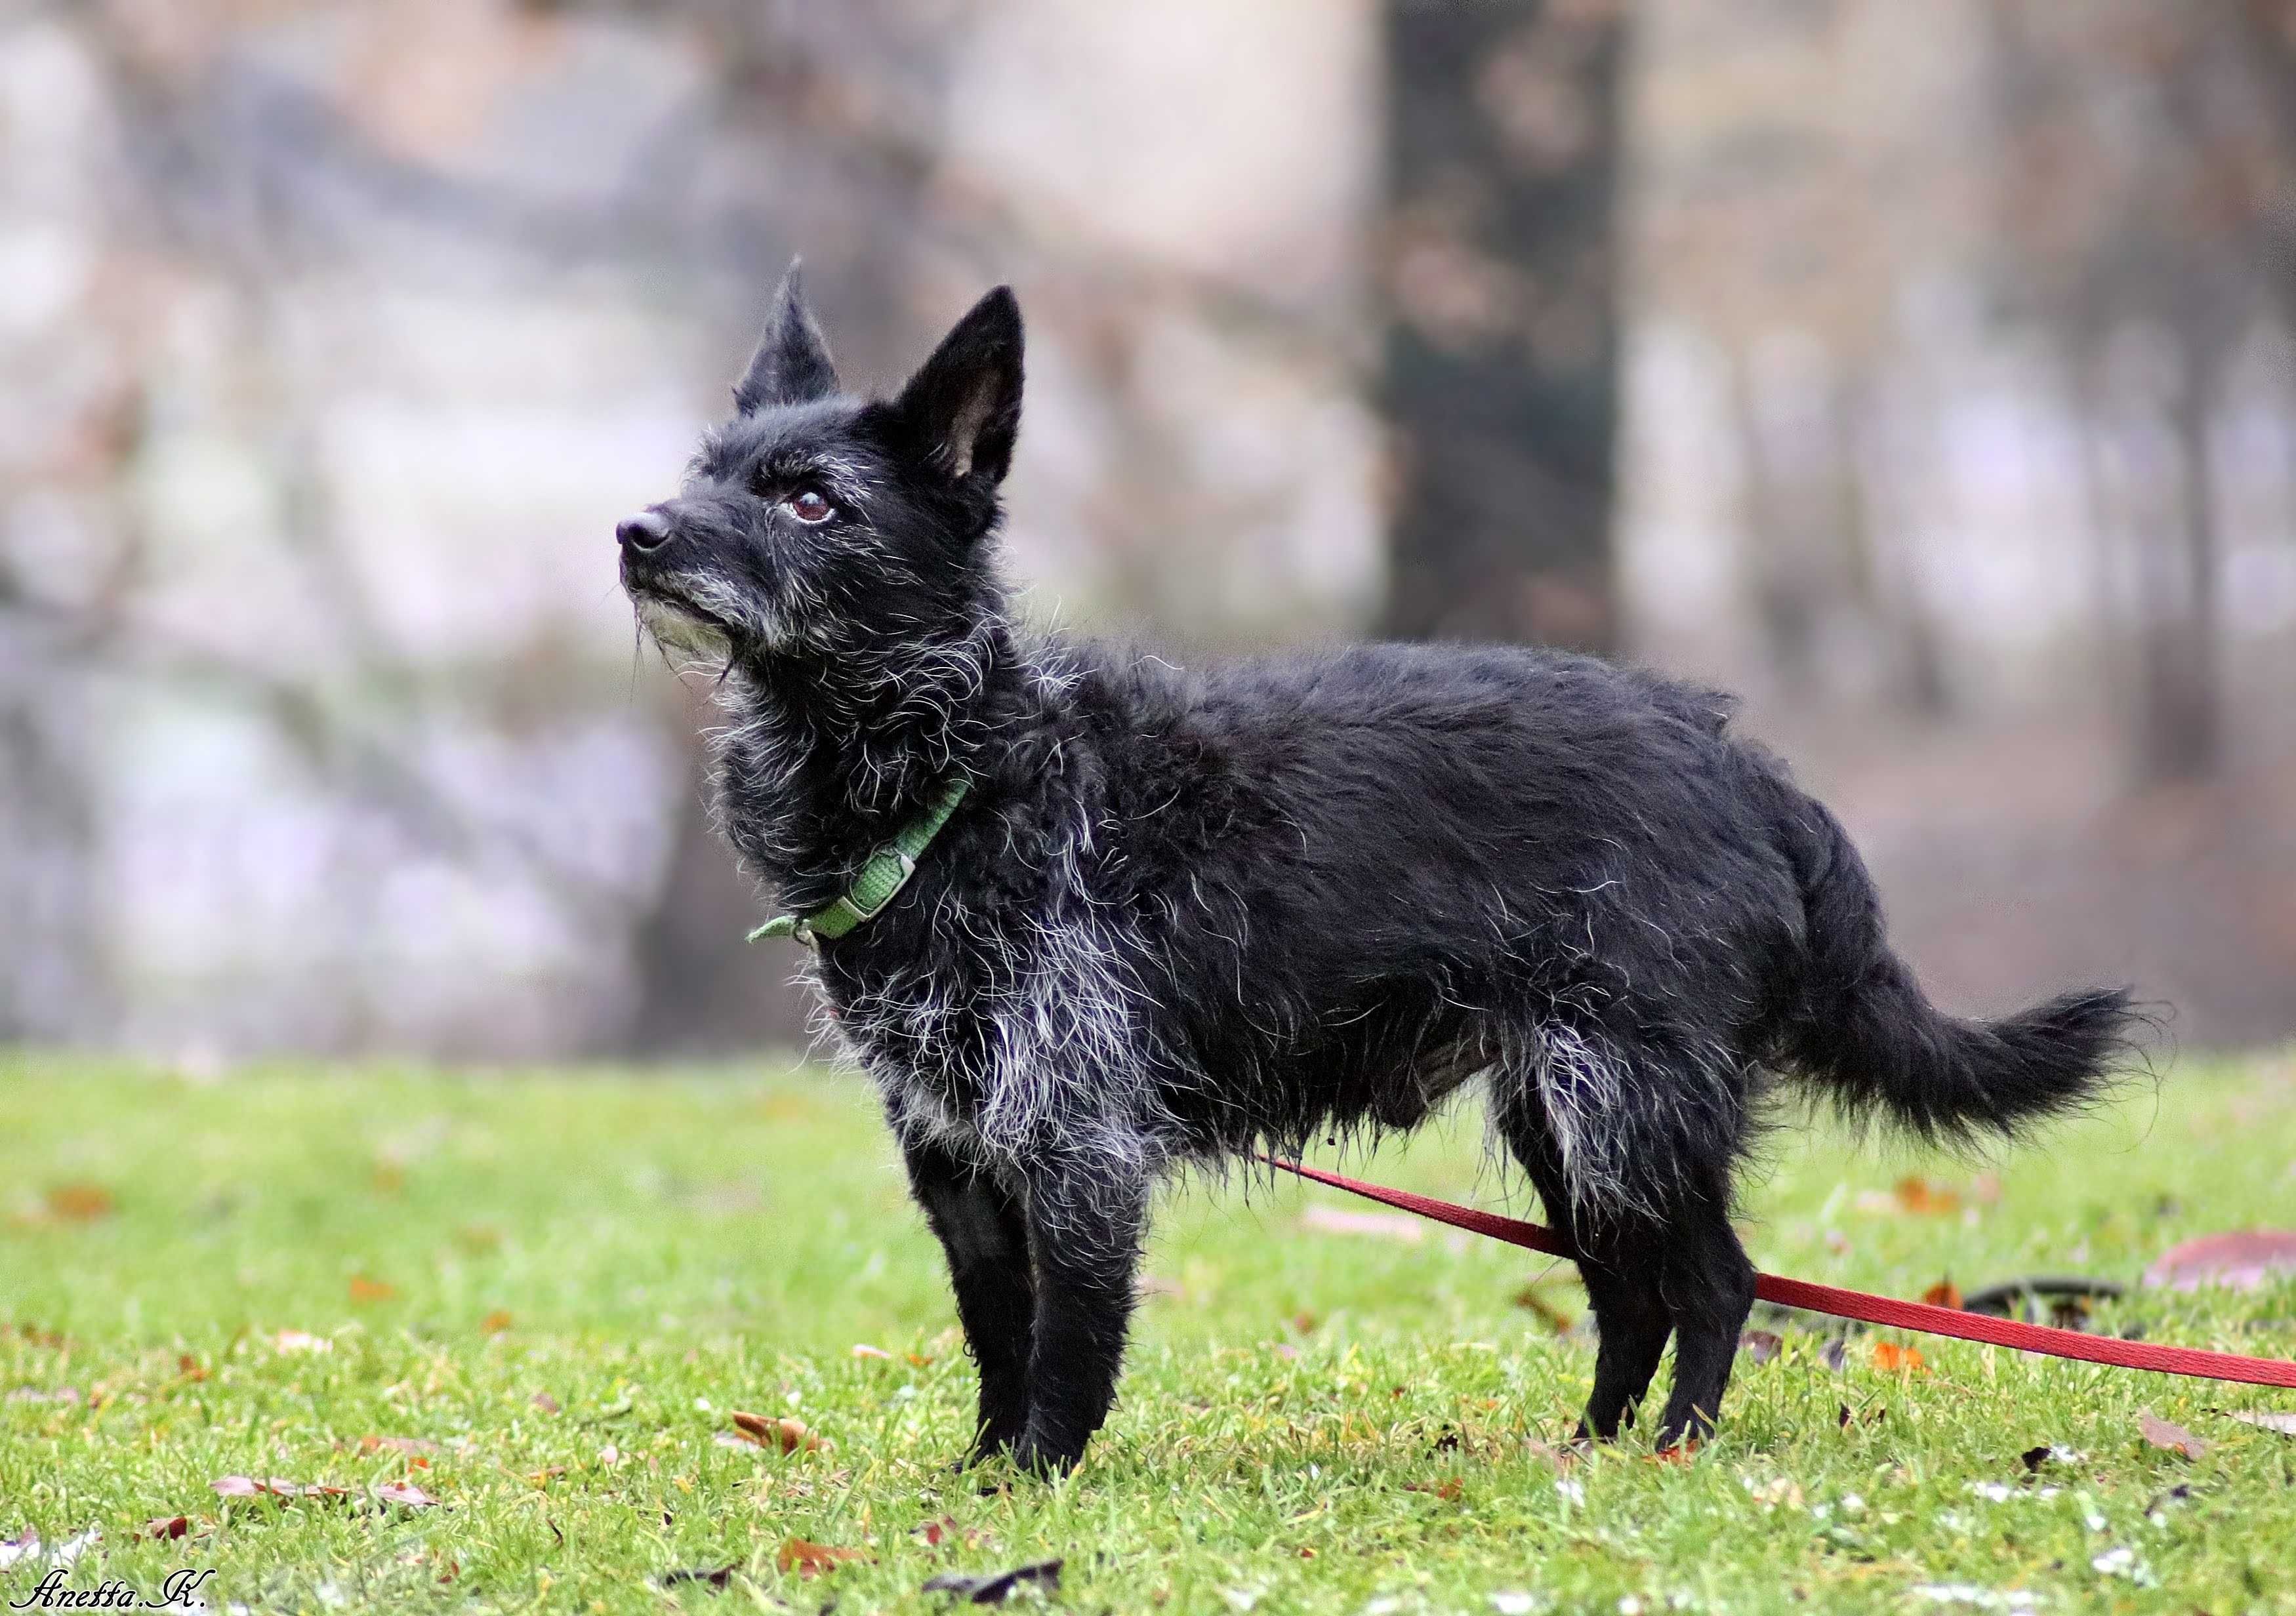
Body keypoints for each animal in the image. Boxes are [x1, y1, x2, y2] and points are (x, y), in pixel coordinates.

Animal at [620, 268, 2140, 1478]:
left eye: (811, 499)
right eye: (706, 473)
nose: (638, 530)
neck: (961, 772)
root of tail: (1744, 763)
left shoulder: (1077, 1143)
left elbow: (1067, 1342)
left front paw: (1041, 1478)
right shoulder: (956, 1156)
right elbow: (998, 1337)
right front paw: (984, 1471)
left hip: (1624, 1100)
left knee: (1714, 1279)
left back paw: (1674, 1449)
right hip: (1561, 1112)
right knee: (1633, 1291)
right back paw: (1589, 1444)